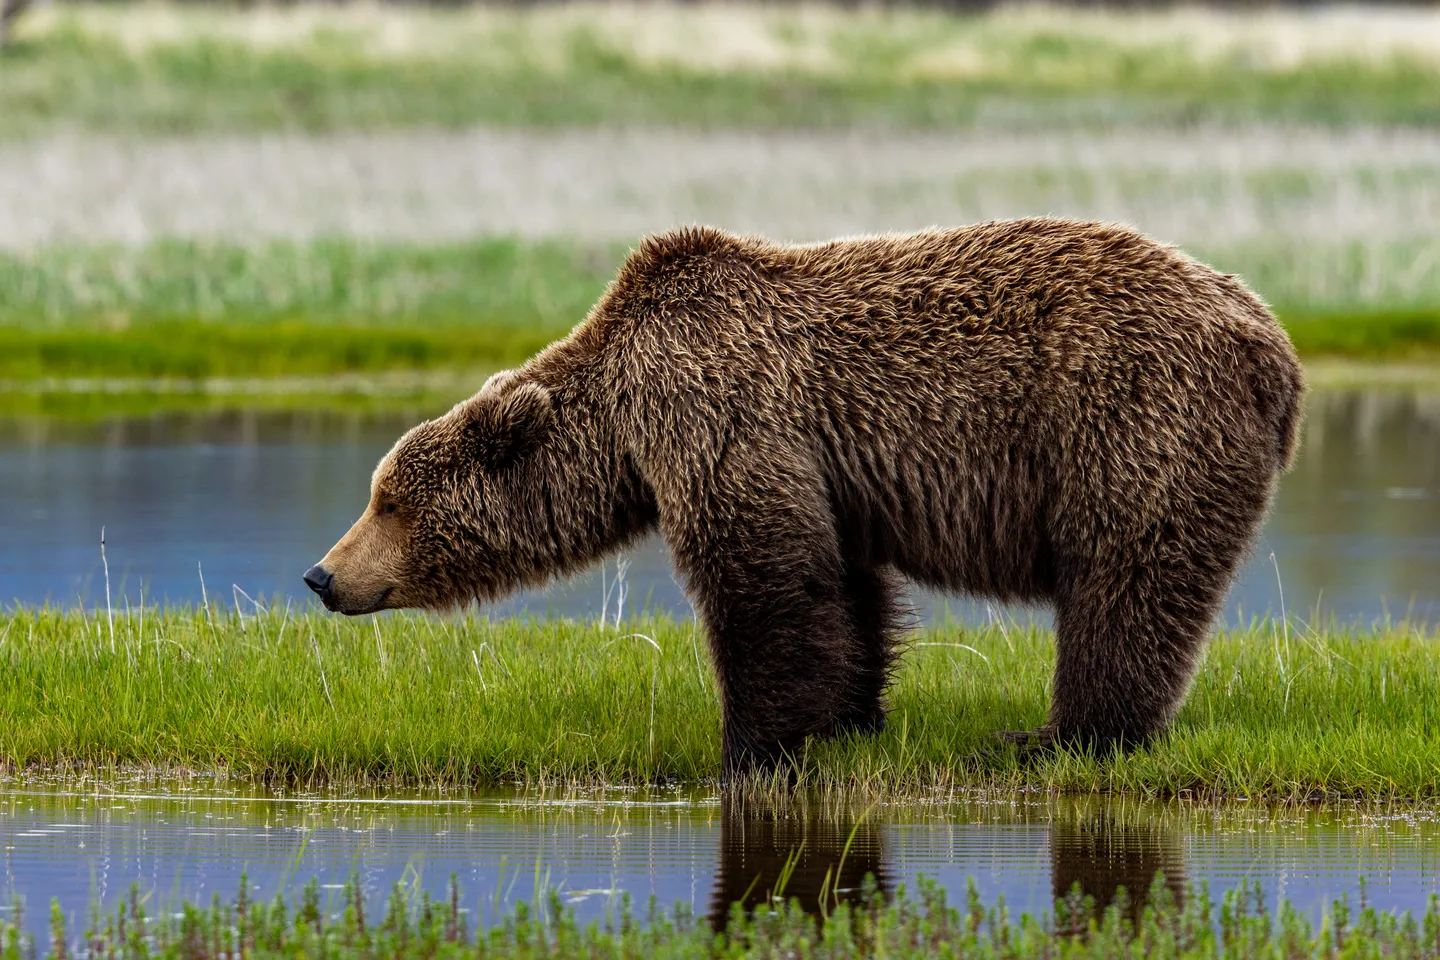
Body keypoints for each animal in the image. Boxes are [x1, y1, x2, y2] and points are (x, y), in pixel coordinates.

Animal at [303, 218, 1304, 775]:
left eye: (388, 501)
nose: (321, 575)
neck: (623, 421)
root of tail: (1273, 344)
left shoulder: (721, 413)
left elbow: (766, 584)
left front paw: (751, 748)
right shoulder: (834, 474)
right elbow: (844, 590)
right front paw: (850, 719)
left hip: (1132, 424)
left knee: (1123, 583)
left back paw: (1059, 736)